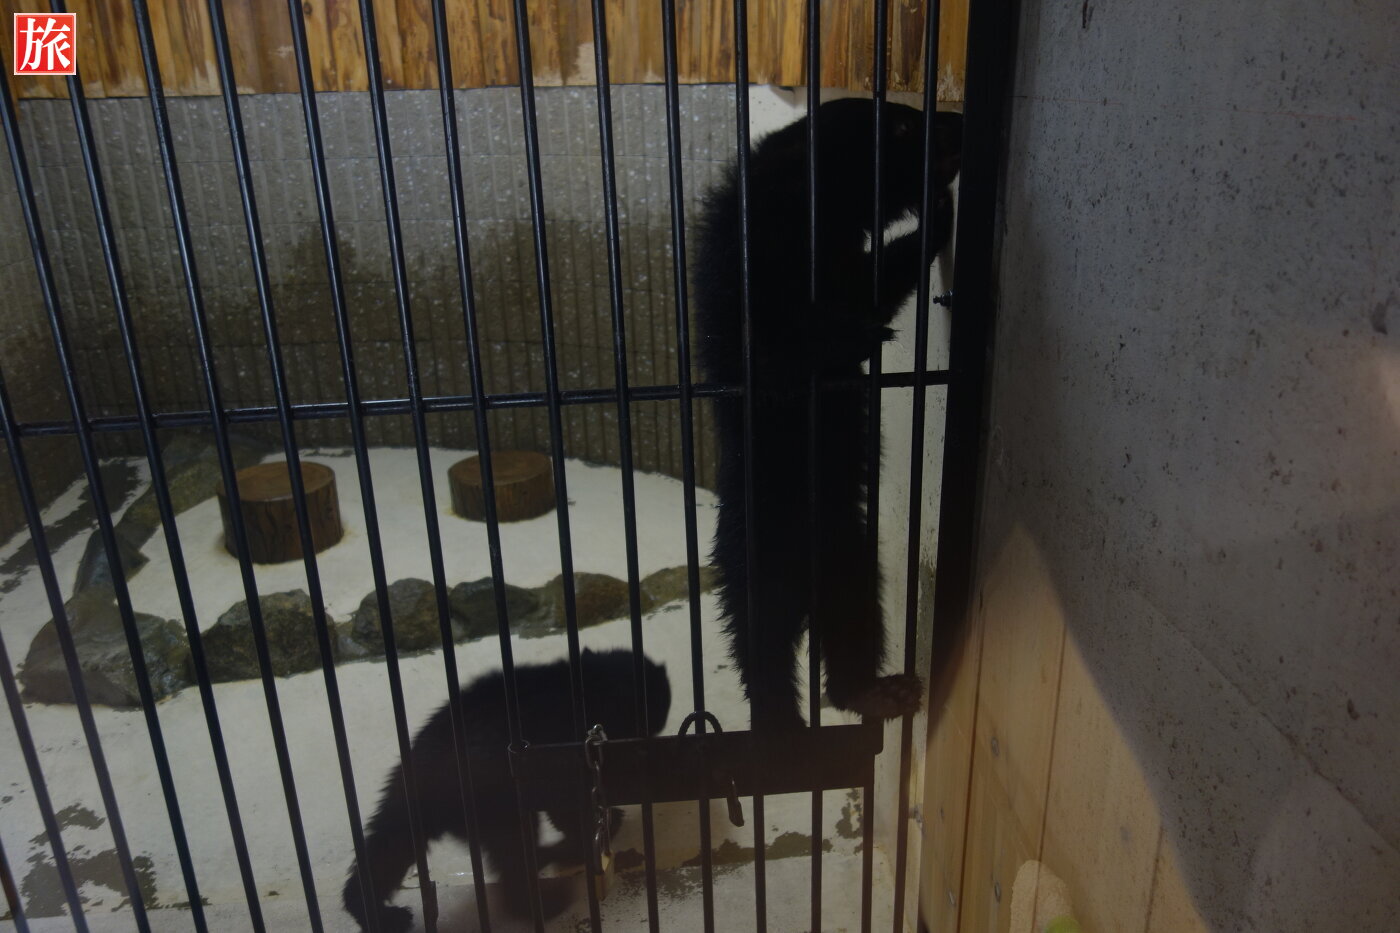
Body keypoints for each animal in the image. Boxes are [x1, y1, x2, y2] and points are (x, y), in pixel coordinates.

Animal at [342, 649, 672, 932]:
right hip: (494, 801)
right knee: (512, 853)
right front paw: (602, 824)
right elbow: (568, 804)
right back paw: (544, 899)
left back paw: (375, 913)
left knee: (386, 847)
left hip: (404, 798)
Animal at [694, 98, 962, 731]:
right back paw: (780, 719)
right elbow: (769, 350)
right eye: (903, 126)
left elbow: (871, 287)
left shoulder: (839, 265)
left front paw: (935, 219)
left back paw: (873, 691)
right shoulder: (746, 270)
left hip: (847, 553)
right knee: (760, 640)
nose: (961, 126)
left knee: (851, 618)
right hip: (759, 545)